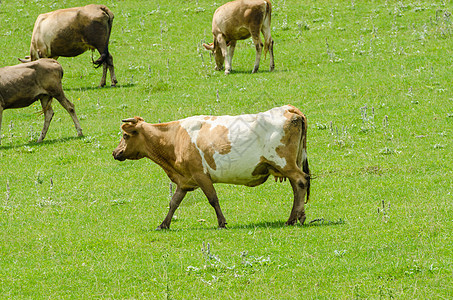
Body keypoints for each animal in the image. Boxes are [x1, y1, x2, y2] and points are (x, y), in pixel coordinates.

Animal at [113, 105, 310, 230]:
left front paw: (222, 222)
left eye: (125, 135)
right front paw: (163, 224)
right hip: (290, 163)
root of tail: (289, 108)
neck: (175, 138)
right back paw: (292, 218)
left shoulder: (201, 175)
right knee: (296, 187)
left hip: (284, 162)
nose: (115, 152)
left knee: (301, 181)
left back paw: (298, 217)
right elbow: (174, 202)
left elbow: (213, 199)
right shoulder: (185, 181)